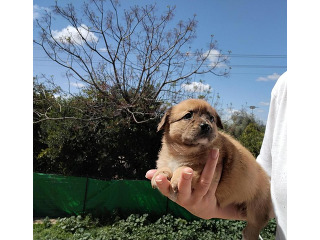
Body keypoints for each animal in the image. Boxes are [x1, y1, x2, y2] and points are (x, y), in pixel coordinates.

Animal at [151, 99, 272, 240]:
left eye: (211, 118)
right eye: (188, 115)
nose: (206, 125)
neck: (183, 152)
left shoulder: (203, 170)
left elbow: (186, 168)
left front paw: (177, 178)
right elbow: (165, 166)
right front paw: (159, 174)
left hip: (257, 210)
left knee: (253, 228)